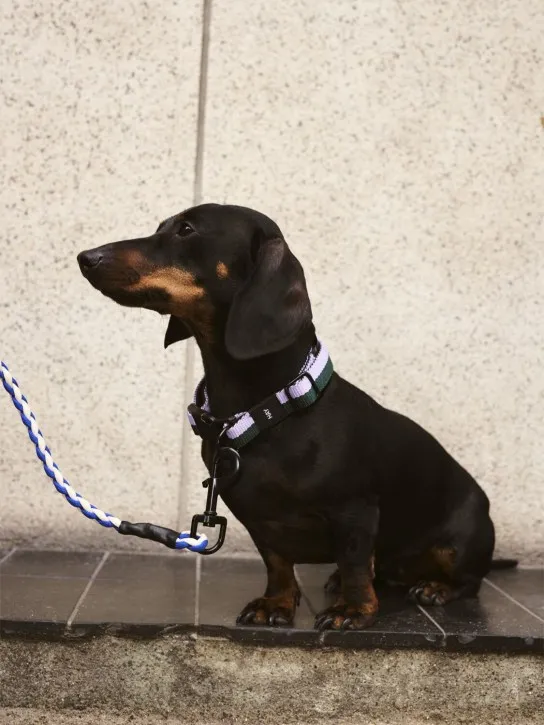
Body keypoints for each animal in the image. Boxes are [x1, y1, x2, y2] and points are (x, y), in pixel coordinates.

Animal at [77, 204, 506, 628]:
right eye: (161, 226)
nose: (86, 257)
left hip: (463, 540)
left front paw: (353, 610)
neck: (271, 408)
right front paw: (276, 604)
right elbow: (278, 563)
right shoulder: (257, 519)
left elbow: (354, 562)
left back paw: (435, 588)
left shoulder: (354, 510)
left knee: (468, 581)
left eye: (186, 229)